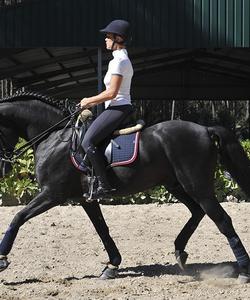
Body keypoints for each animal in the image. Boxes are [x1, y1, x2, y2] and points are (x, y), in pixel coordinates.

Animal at [0, 92, 250, 282]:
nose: (4, 168)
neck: (53, 138)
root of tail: (205, 129)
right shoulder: (84, 199)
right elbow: (102, 229)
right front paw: (112, 265)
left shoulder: (52, 194)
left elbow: (18, 218)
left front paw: (2, 259)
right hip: (175, 185)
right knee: (197, 212)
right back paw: (180, 252)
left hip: (197, 186)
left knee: (222, 220)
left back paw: (244, 271)